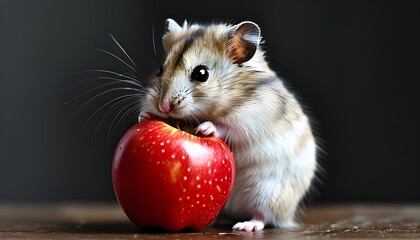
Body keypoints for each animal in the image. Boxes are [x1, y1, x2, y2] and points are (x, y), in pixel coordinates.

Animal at [139, 17, 316, 232]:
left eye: (201, 74)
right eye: (160, 70)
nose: (164, 107)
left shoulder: (251, 119)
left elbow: (228, 128)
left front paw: (204, 128)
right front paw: (145, 115)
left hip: (269, 191)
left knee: (263, 216)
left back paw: (244, 226)